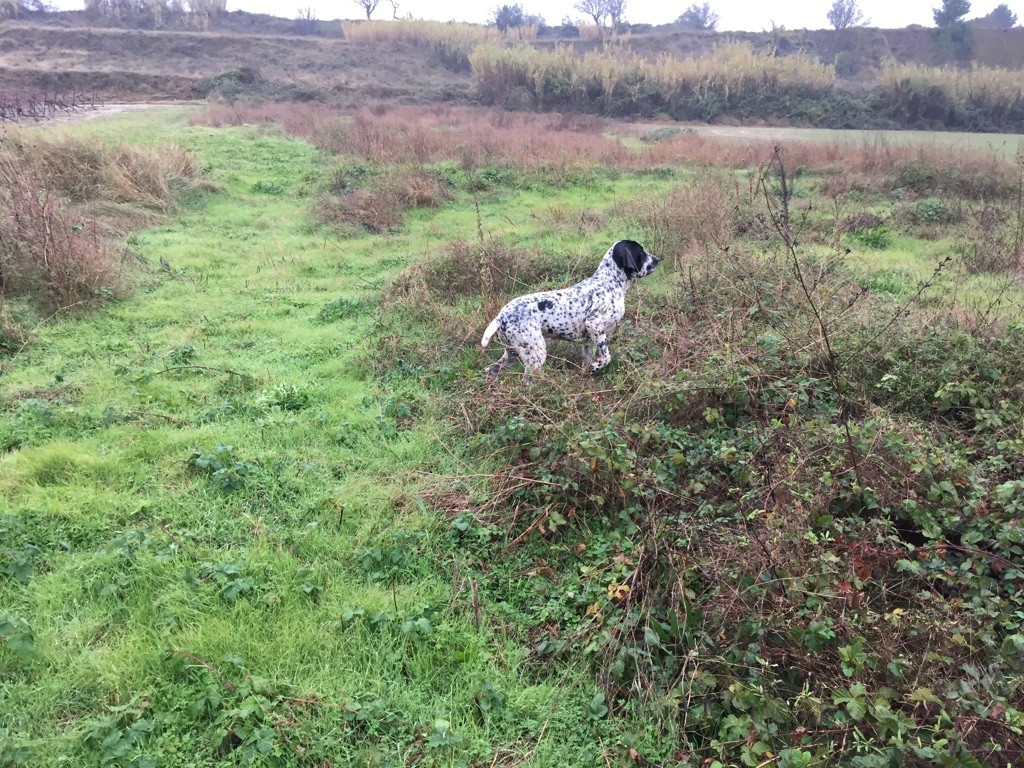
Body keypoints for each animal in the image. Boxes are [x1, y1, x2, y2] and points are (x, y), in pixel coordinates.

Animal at [477, 240, 655, 382]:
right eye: (641, 252)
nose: (657, 260)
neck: (609, 281)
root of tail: (501, 316)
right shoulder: (595, 326)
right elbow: (606, 357)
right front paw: (596, 366)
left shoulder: (588, 339)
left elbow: (588, 357)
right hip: (535, 353)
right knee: (527, 380)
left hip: (512, 354)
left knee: (492, 370)